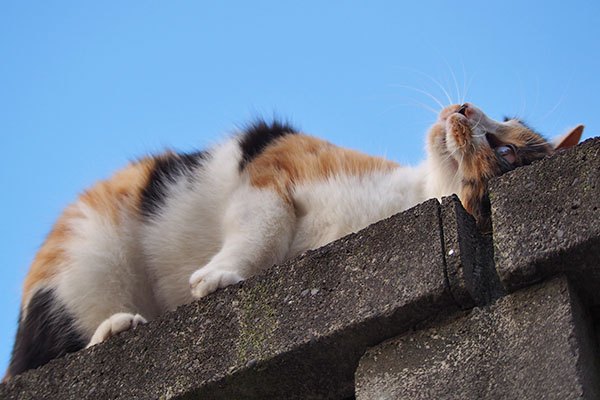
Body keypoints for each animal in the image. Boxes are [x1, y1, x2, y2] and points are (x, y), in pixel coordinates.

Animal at [3, 102, 580, 378]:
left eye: (506, 150)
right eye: (497, 115)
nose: (462, 108)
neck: (407, 199)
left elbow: (265, 235)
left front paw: (213, 278)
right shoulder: (275, 168)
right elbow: (260, 228)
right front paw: (217, 277)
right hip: (89, 258)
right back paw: (117, 327)